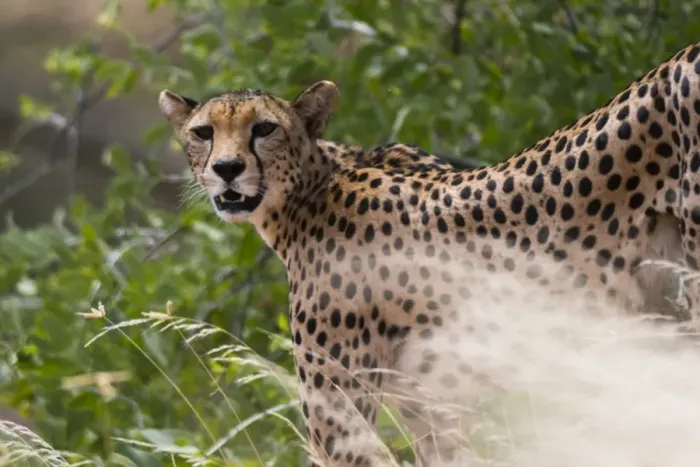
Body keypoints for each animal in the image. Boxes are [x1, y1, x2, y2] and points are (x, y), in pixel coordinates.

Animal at [158, 40, 700, 466]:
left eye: (265, 129)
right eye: (204, 132)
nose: (227, 169)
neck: (308, 192)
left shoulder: (339, 425)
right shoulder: (438, 412)